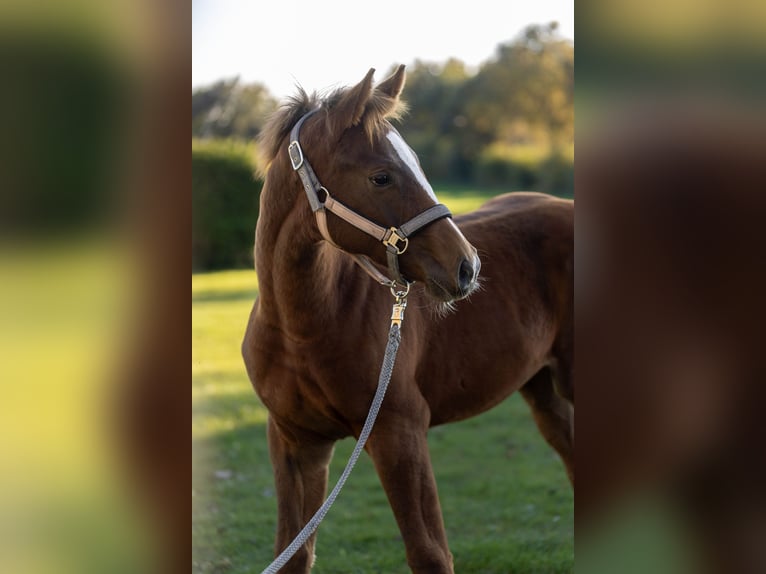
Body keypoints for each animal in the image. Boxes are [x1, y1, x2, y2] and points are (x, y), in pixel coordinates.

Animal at [242, 65, 574, 573]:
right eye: (381, 176)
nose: (467, 267)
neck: (301, 329)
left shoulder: (399, 432)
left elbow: (429, 552)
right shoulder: (296, 442)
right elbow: (293, 554)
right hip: (545, 390)